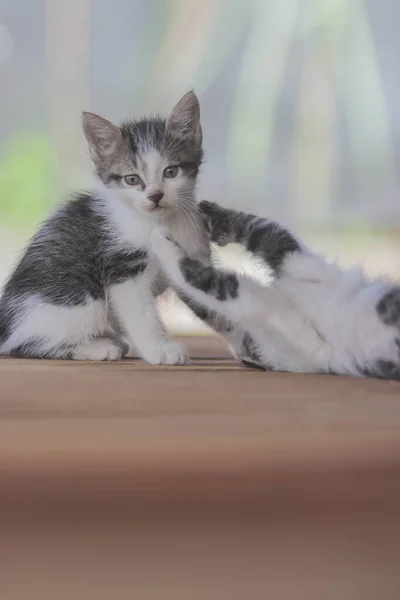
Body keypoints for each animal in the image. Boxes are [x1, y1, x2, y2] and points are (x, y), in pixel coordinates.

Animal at [0, 92, 211, 364]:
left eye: (171, 172)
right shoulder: (124, 268)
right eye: (132, 179)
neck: (161, 221)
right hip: (76, 299)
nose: (155, 195)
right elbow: (142, 315)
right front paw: (160, 350)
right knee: (24, 344)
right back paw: (99, 348)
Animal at [148, 202, 400, 380]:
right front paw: (216, 216)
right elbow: (265, 229)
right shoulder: (300, 264)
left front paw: (160, 239)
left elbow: (194, 277)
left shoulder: (254, 302)